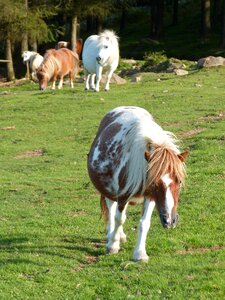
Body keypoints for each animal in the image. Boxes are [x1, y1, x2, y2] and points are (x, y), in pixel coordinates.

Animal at [88, 106, 188, 262]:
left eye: (178, 181)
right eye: (155, 183)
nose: (170, 221)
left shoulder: (150, 197)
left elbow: (144, 223)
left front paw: (140, 254)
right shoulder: (123, 195)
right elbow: (119, 219)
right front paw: (112, 246)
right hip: (109, 191)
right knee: (112, 210)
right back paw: (111, 235)